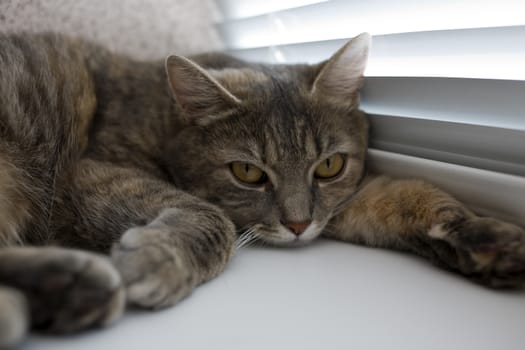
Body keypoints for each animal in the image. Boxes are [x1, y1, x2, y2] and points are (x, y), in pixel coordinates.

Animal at [1, 32, 524, 348]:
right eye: (248, 173)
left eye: (329, 166)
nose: (296, 225)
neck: (162, 113)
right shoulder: (91, 171)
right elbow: (212, 219)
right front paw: (161, 257)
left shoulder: (339, 204)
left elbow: (406, 194)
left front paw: (486, 237)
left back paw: (67, 288)